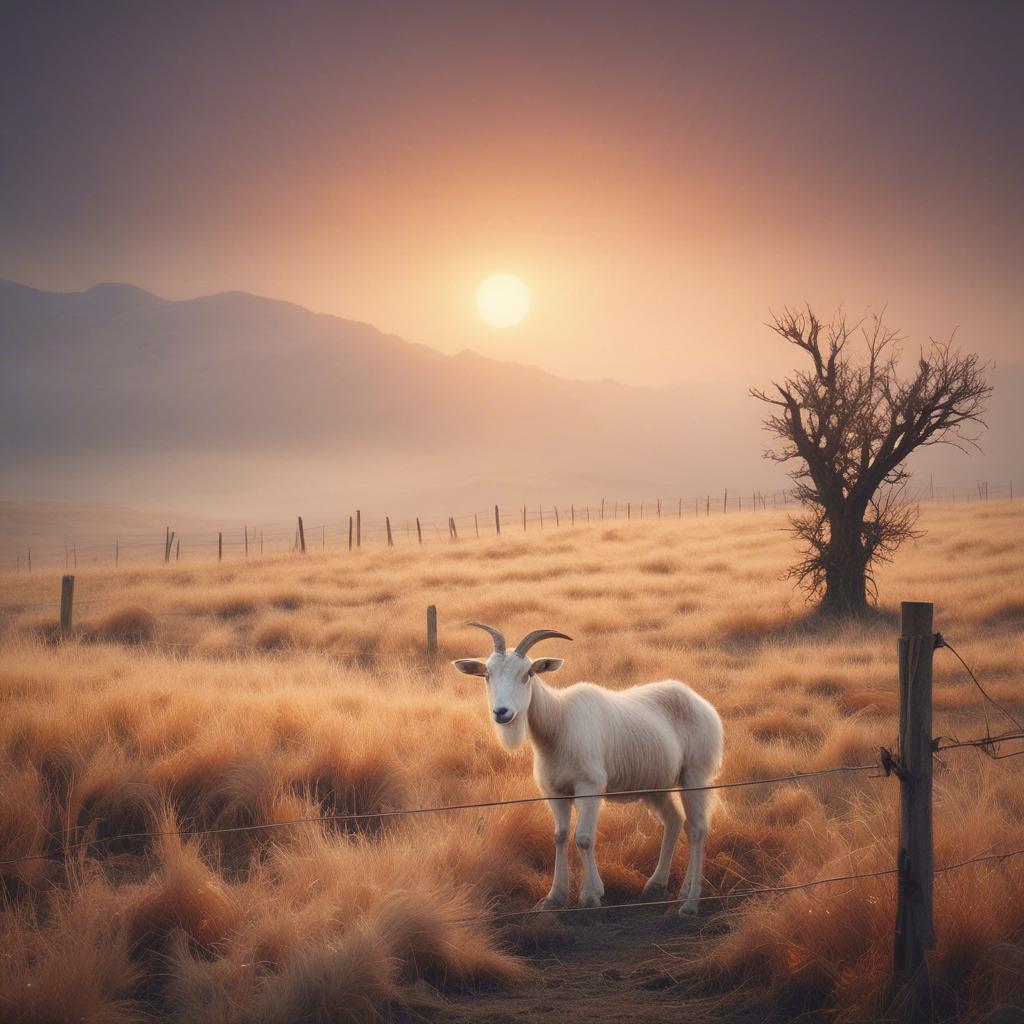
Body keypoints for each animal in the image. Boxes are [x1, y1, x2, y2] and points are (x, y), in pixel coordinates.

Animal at [453, 623, 724, 915]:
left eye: (527, 674)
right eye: (487, 675)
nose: (502, 712)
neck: (559, 722)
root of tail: (703, 705)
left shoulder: (589, 787)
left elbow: (583, 837)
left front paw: (591, 895)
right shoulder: (555, 792)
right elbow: (560, 836)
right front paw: (554, 897)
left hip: (695, 776)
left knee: (697, 829)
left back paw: (690, 903)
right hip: (656, 786)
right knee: (674, 821)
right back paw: (658, 886)